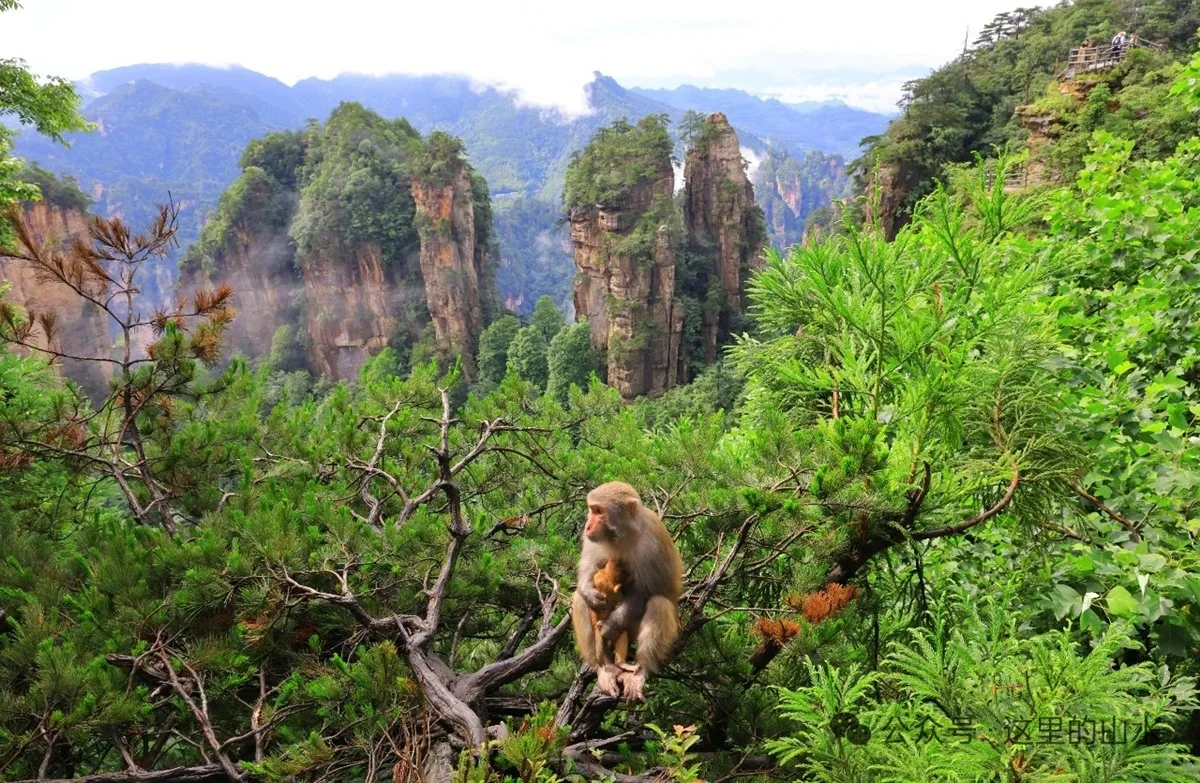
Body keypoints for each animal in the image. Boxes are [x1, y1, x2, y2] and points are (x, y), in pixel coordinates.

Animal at [572, 481, 683, 702]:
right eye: (591, 509)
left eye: (599, 511)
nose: (587, 525)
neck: (621, 536)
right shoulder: (591, 539)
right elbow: (587, 569)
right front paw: (588, 592)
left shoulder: (652, 544)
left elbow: (645, 592)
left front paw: (611, 625)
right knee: (579, 601)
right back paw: (604, 669)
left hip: (631, 631)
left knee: (658, 603)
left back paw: (641, 671)